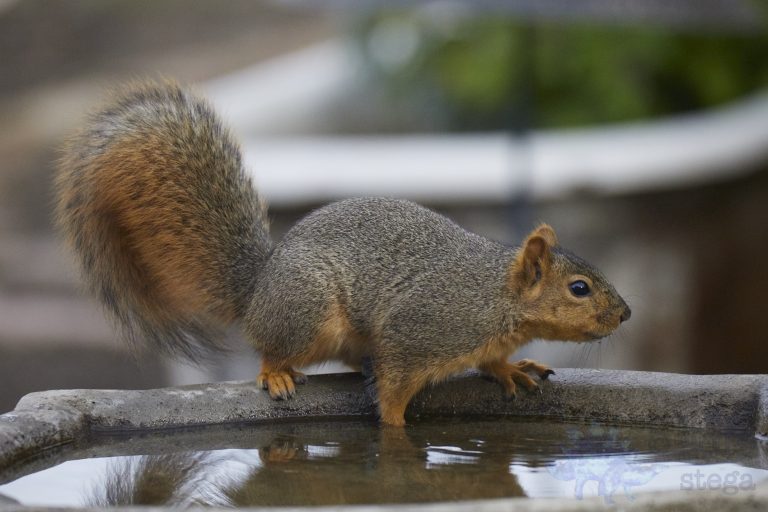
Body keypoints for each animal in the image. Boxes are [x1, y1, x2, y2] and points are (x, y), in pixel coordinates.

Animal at [55, 81, 631, 427]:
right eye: (579, 289)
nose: (626, 314)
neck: (494, 297)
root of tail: (259, 287)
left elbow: (492, 360)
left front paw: (511, 369)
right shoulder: (420, 331)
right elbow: (394, 389)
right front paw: (396, 431)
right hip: (306, 312)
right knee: (270, 346)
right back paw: (276, 374)